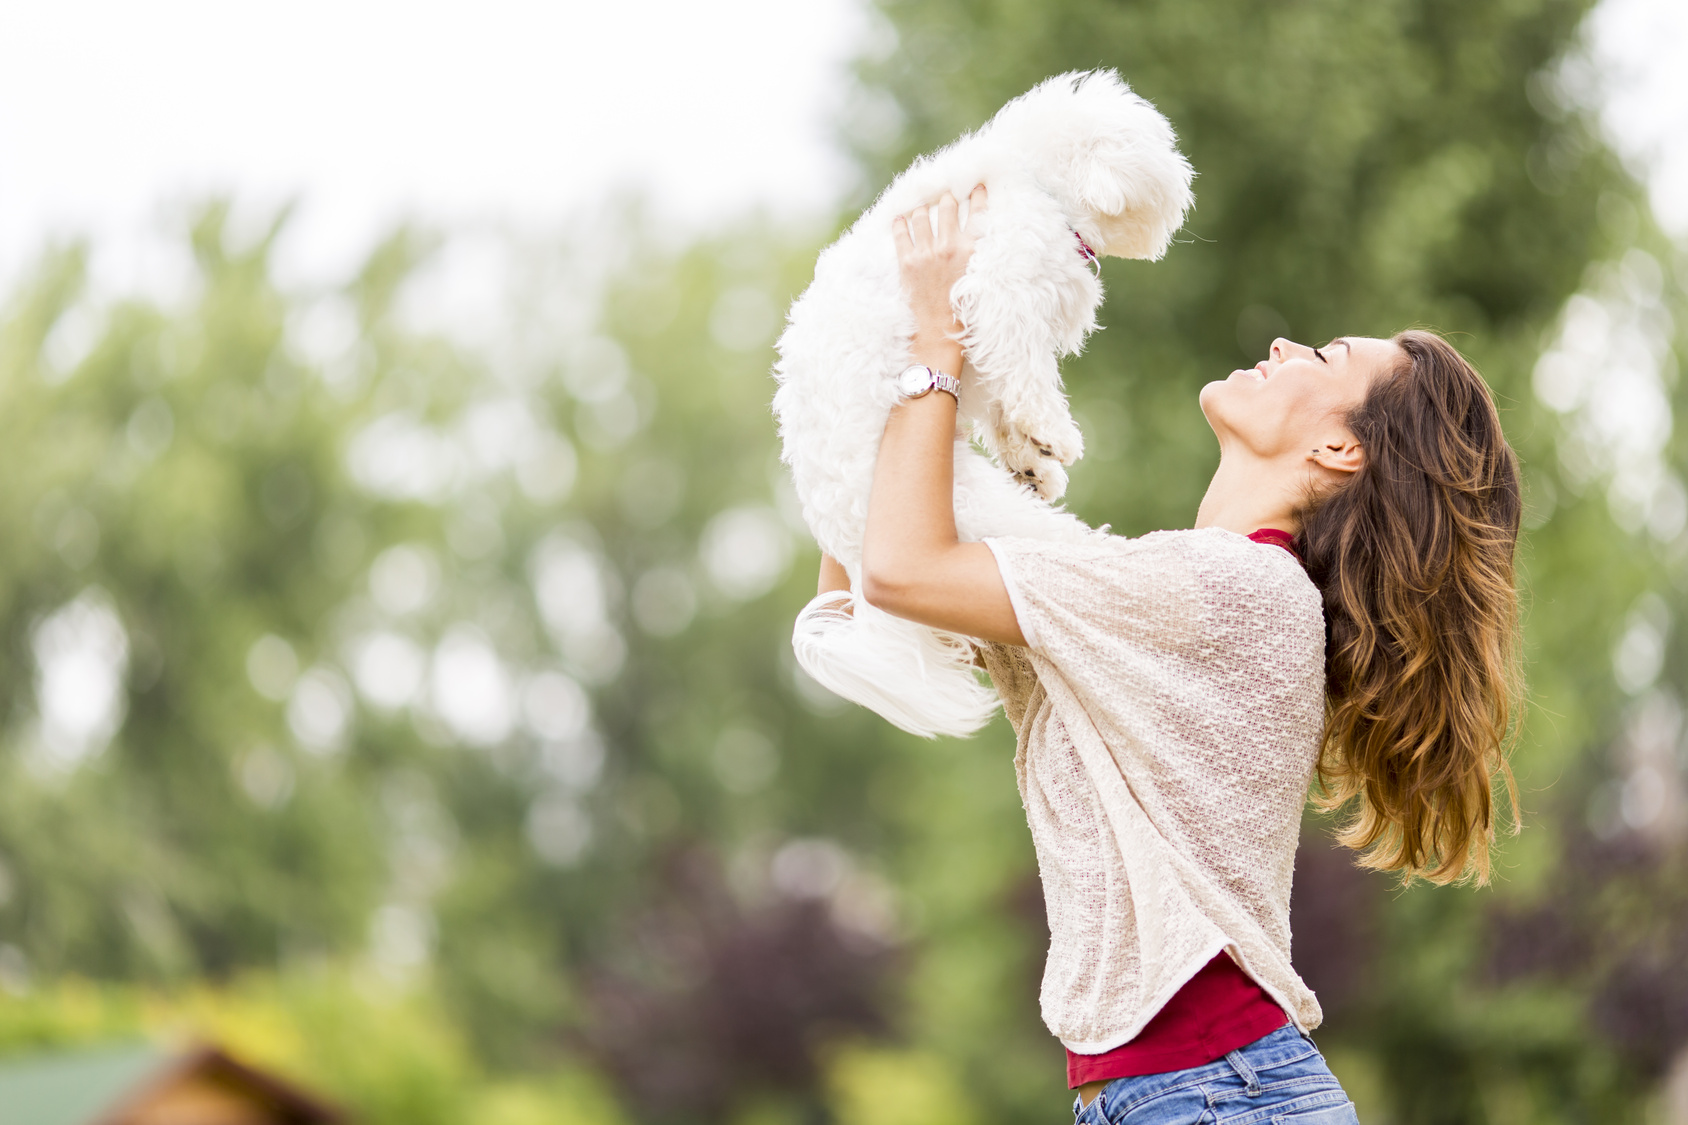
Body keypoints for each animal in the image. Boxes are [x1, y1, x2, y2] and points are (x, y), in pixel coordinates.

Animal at [773, 70, 1195, 736]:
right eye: (1158, 144)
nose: (1186, 173)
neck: (1031, 179)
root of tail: (841, 536)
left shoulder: (991, 327)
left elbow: (1005, 399)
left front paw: (1033, 459)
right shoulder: (1002, 292)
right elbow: (1026, 378)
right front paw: (1055, 437)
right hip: (979, 511)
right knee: (1056, 547)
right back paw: (1118, 556)